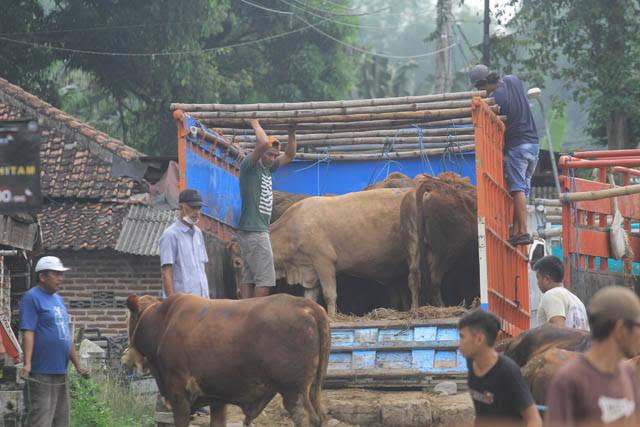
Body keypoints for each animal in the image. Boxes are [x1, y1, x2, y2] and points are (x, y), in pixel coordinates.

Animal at [122, 294, 330, 427]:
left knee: (306, 418)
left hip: (293, 391)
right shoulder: (217, 399)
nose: (125, 355)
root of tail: (306, 305)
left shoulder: (178, 395)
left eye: (129, 319)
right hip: (309, 389)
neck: (162, 324)